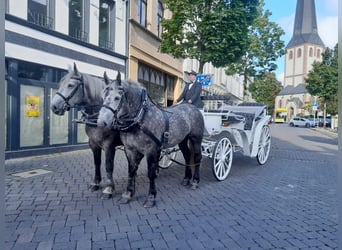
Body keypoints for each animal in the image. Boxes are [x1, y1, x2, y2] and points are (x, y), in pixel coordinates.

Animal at [50, 63, 121, 199]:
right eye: (60, 83)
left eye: (70, 85)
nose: (54, 107)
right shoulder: (93, 144)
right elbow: (97, 162)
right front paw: (96, 183)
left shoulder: (109, 145)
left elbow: (108, 165)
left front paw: (109, 188)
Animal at [97, 73, 203, 207]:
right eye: (103, 95)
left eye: (117, 97)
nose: (101, 123)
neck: (140, 118)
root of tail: (192, 107)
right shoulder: (130, 150)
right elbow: (131, 171)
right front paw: (127, 194)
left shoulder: (151, 151)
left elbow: (151, 174)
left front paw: (151, 197)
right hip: (183, 140)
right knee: (187, 156)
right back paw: (186, 179)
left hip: (196, 138)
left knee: (198, 157)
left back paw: (195, 181)